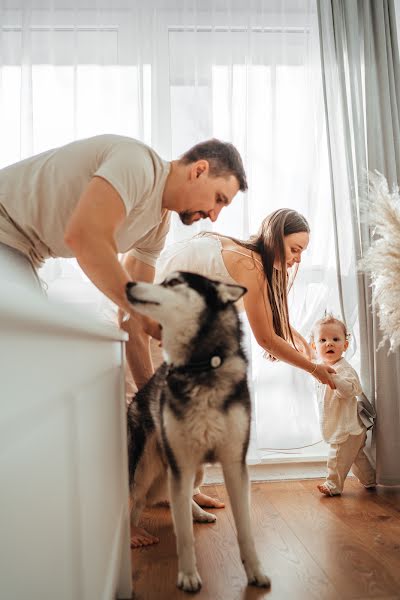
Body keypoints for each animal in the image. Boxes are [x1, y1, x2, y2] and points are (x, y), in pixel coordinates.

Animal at [126, 274, 270, 596]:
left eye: (173, 282)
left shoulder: (234, 465)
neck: (202, 367)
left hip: (194, 471)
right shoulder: (181, 464)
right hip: (145, 470)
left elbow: (245, 530)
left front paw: (255, 572)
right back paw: (134, 533)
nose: (127, 284)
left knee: (180, 494)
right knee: (135, 501)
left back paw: (199, 512)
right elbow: (183, 536)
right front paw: (188, 576)